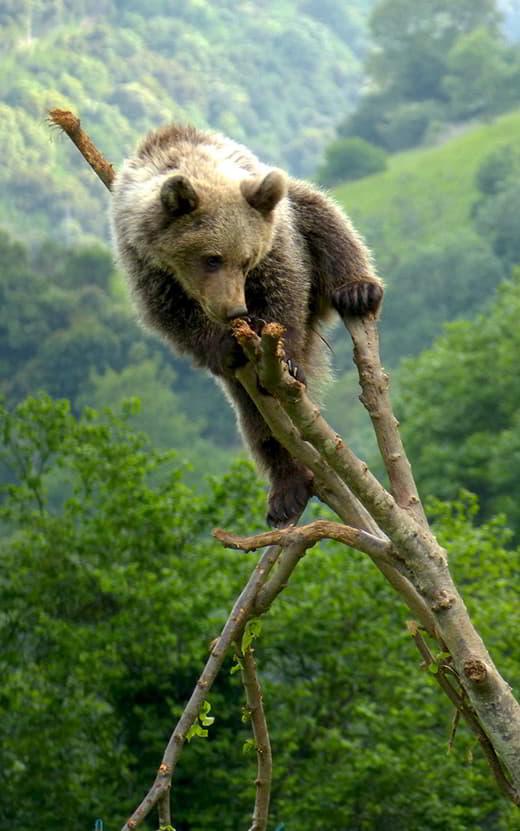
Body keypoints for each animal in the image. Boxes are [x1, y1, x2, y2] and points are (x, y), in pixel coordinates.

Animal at [110, 124, 383, 527]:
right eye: (211, 258)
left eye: (246, 259)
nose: (235, 309)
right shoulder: (144, 263)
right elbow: (171, 317)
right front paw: (224, 345)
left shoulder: (276, 240)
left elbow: (286, 287)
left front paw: (287, 361)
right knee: (258, 420)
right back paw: (287, 489)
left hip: (305, 229)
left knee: (324, 216)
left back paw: (358, 290)